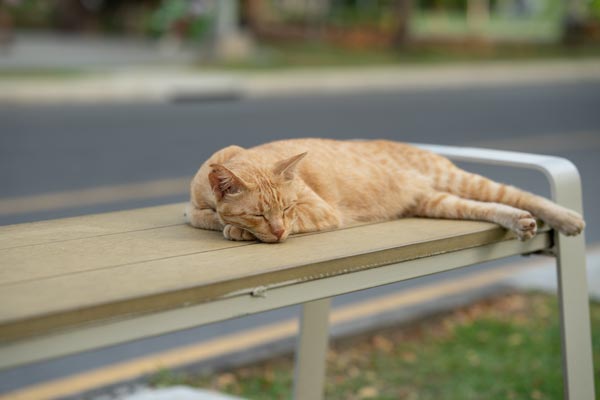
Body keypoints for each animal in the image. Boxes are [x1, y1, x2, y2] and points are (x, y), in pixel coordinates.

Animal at [186, 138, 584, 243]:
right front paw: (230, 224)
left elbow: (222, 222)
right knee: (488, 207)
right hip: (439, 201)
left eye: (287, 208)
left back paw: (568, 219)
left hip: (458, 179)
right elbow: (201, 216)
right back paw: (521, 222)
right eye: (258, 212)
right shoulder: (192, 208)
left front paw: (236, 230)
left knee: (520, 194)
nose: (280, 231)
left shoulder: (320, 211)